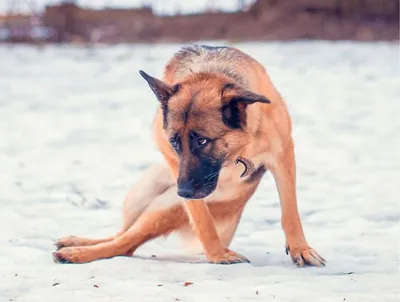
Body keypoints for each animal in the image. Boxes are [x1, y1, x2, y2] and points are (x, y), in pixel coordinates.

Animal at [53, 44, 326, 266]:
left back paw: (74, 247)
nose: (182, 191)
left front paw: (300, 249)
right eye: (175, 141)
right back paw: (75, 250)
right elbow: (201, 218)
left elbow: (290, 210)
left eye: (202, 140)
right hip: (153, 198)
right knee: (124, 239)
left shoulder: (283, 155)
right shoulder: (175, 164)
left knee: (127, 241)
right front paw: (218, 255)